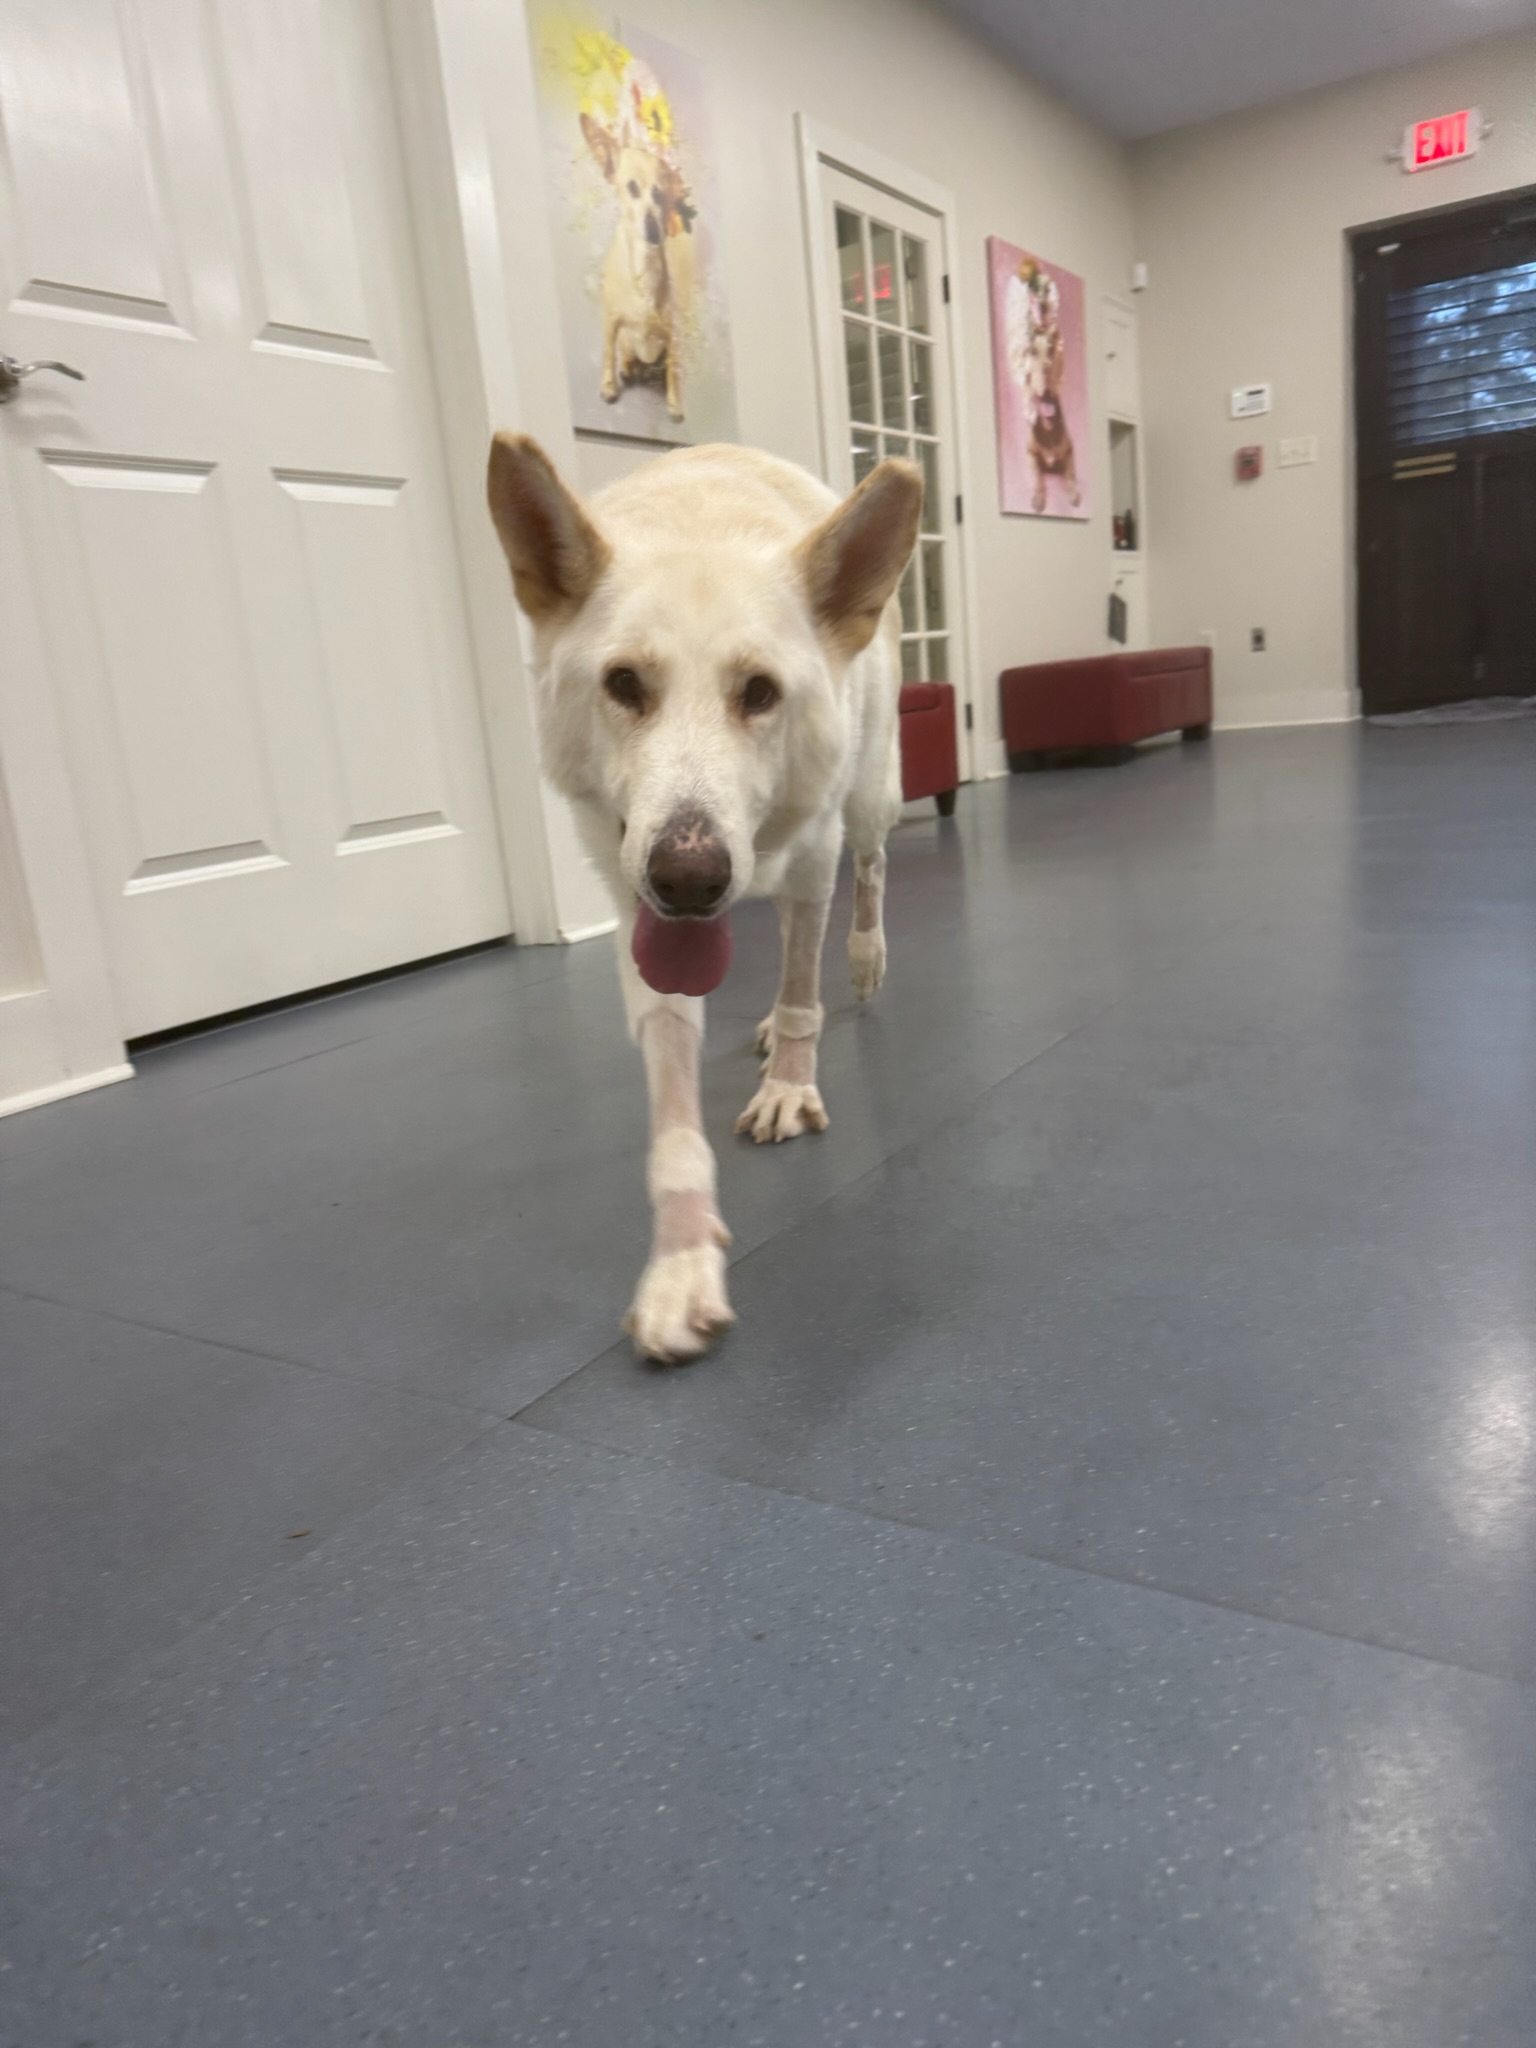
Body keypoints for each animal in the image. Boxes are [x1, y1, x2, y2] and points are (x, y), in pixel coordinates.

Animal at [487, 436, 922, 1361]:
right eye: (623, 683)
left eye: (759, 692)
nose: (689, 880)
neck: (702, 519)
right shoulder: (637, 909)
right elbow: (674, 1105)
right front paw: (682, 1258)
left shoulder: (812, 858)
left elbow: (801, 994)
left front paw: (790, 1084)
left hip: (870, 797)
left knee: (867, 877)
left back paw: (864, 962)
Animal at [579, 76, 695, 423]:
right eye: (631, 187)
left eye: (661, 194)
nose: (654, 229)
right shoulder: (611, 320)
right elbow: (607, 351)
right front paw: (608, 386)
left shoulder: (671, 331)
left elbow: (674, 371)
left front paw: (675, 404)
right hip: (627, 339)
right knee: (625, 353)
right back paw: (628, 369)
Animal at [1005, 258, 1081, 514]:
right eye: (1033, 355)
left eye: (1050, 355)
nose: (1046, 382)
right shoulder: (1030, 453)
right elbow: (1037, 477)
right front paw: (1038, 499)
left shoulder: (1070, 451)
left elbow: (1071, 475)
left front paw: (1075, 495)